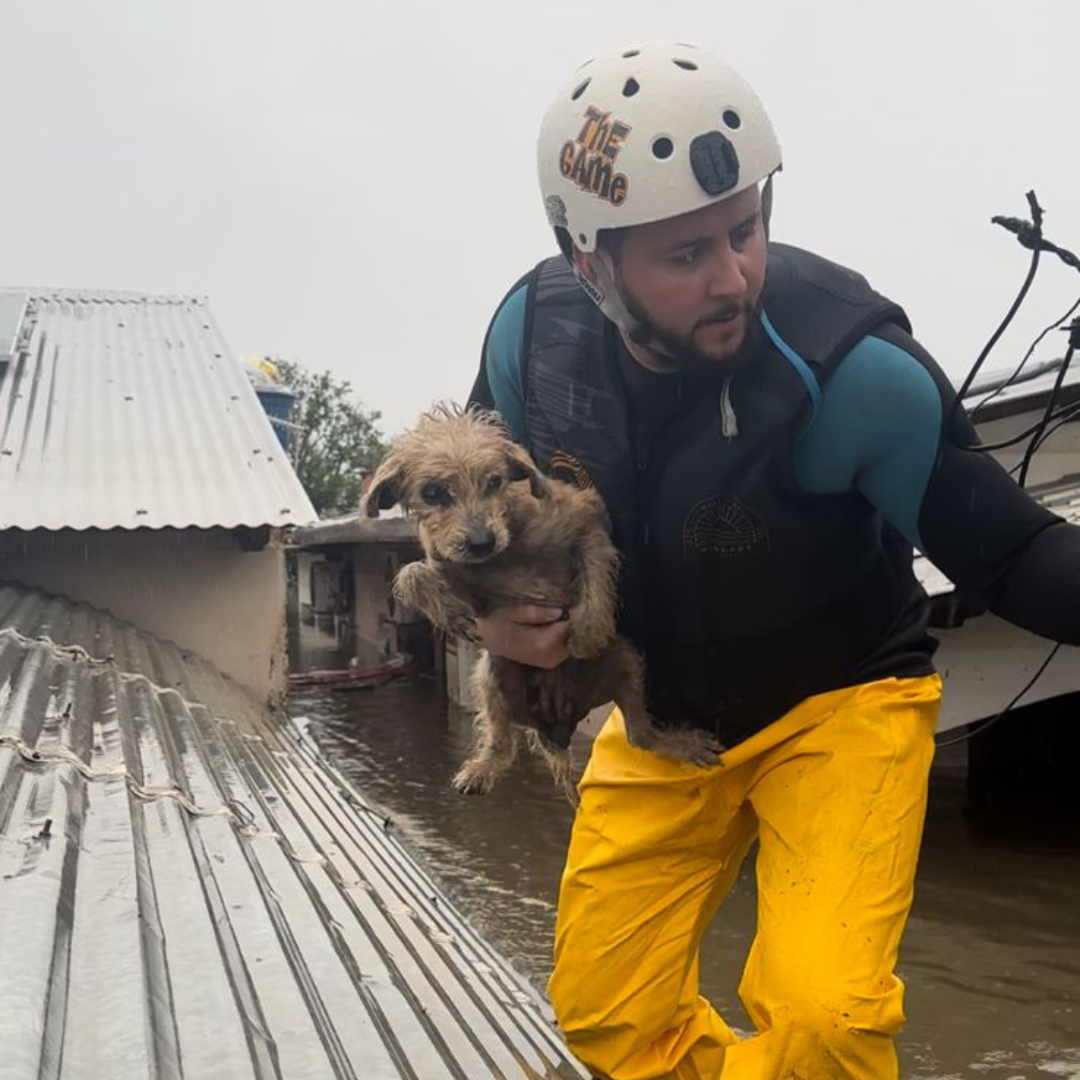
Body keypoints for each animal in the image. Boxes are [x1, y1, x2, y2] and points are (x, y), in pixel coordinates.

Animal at [362, 406, 725, 794]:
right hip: (492, 675)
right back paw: (480, 769)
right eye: (433, 493)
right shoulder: (473, 590)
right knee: (502, 742)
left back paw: (679, 743)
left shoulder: (587, 524)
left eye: (494, 481)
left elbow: (596, 571)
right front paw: (449, 611)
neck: (510, 549)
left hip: (624, 658)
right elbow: (411, 571)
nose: (482, 542)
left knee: (640, 734)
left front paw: (587, 631)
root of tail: (561, 724)